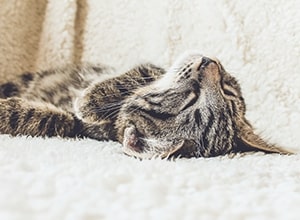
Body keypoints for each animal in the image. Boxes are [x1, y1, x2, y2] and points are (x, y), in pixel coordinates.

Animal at [0, 54, 292, 159]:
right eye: (227, 90)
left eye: (191, 99)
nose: (210, 63)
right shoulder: (151, 67)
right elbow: (138, 73)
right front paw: (93, 97)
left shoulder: (75, 126)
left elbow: (51, 119)